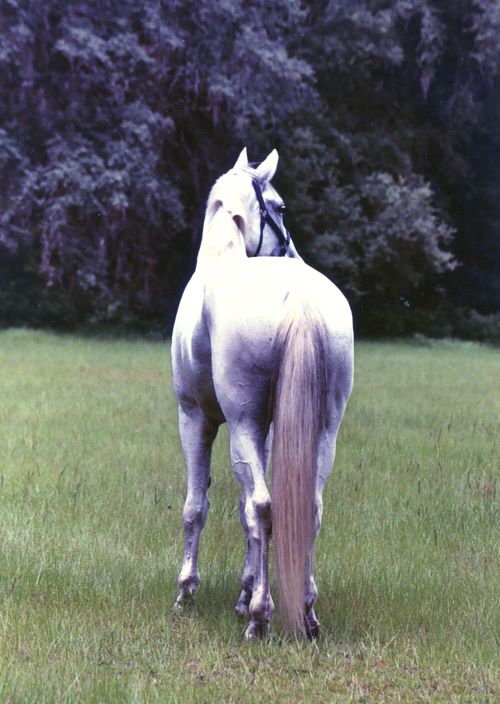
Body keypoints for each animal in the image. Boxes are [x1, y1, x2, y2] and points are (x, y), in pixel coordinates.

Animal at [172, 147, 352, 640]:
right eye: (281, 207)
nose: (292, 249)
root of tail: (299, 297)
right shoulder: (269, 430)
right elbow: (242, 511)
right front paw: (244, 589)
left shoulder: (196, 419)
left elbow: (199, 506)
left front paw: (187, 591)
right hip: (322, 430)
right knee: (308, 508)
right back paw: (305, 611)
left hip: (239, 425)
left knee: (264, 507)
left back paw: (260, 617)